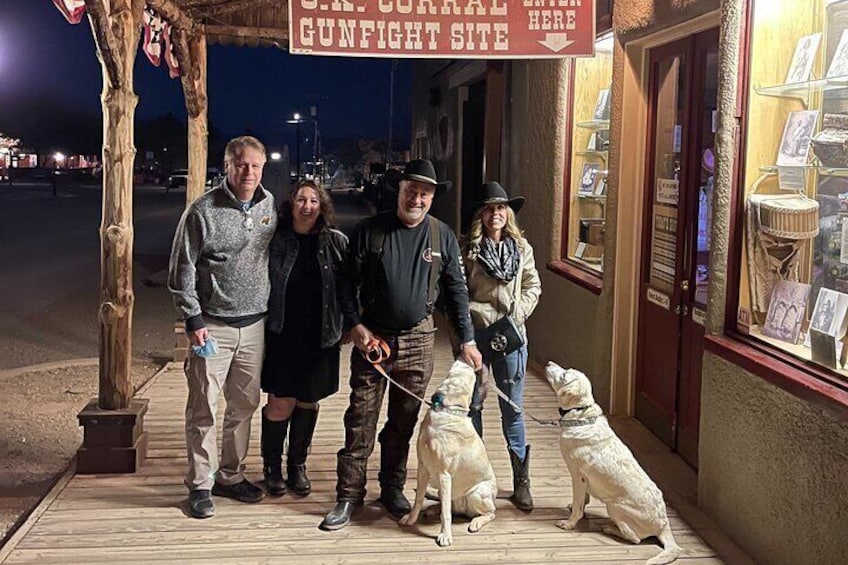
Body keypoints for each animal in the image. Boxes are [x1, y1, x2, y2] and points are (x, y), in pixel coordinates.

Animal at [398, 356, 496, 548]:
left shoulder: (444, 474)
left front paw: (445, 535)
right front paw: (411, 519)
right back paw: (431, 509)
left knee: (489, 513)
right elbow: (419, 499)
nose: (475, 358)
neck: (445, 409)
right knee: (447, 504)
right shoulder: (423, 467)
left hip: (477, 494)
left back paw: (476, 522)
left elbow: (446, 514)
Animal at [548, 362, 680, 564]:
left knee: (634, 538)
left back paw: (610, 528)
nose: (548, 363)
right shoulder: (583, 481)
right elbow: (582, 500)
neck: (580, 414)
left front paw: (569, 523)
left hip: (614, 507)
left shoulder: (578, 477)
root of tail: (664, 523)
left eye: (564, 375)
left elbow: (578, 506)